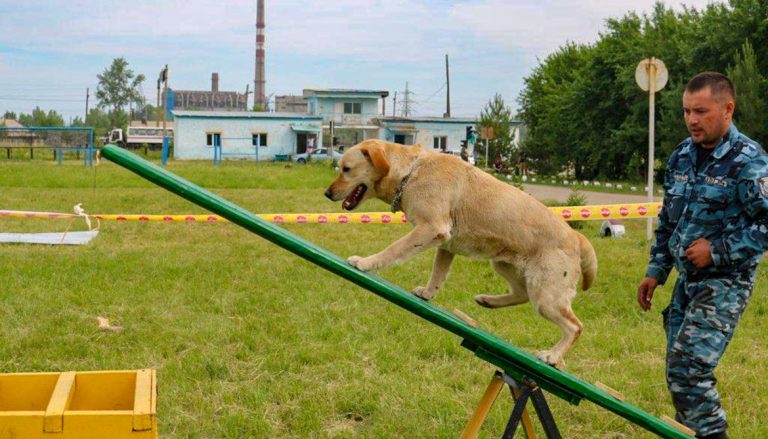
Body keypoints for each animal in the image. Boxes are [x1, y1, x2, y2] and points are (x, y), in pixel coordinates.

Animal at [324, 139, 600, 366]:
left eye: (345, 168)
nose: (327, 193)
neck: (411, 173)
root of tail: (577, 238)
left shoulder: (431, 228)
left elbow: (394, 250)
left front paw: (365, 262)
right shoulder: (445, 244)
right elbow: (437, 276)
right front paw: (427, 294)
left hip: (546, 296)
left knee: (575, 326)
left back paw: (552, 355)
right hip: (505, 266)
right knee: (521, 294)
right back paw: (488, 301)